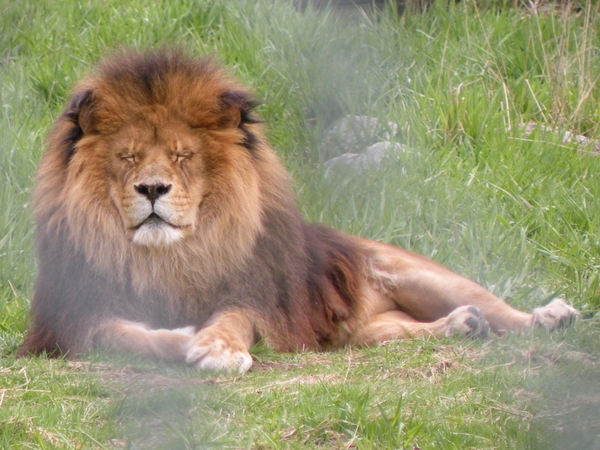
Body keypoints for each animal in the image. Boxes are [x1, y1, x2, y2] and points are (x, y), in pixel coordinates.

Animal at [21, 48, 580, 372]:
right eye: (128, 157)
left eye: (183, 156)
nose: (153, 188)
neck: (167, 257)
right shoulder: (73, 319)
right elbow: (119, 336)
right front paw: (184, 341)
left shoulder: (257, 297)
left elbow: (233, 319)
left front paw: (218, 347)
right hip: (360, 334)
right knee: (401, 333)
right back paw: (462, 327)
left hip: (415, 272)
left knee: (498, 308)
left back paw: (550, 317)